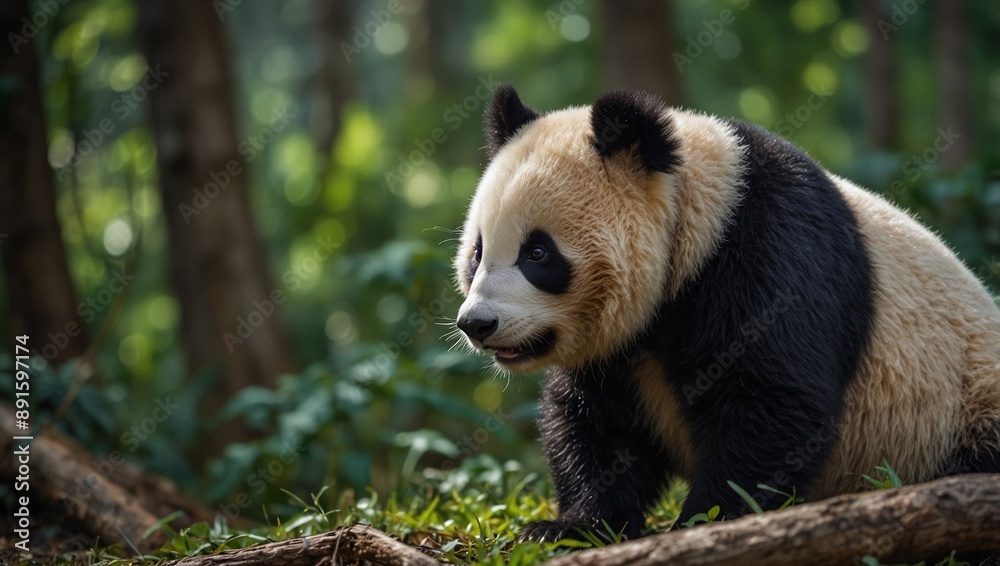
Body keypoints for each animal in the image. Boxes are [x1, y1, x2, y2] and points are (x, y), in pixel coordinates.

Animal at [453, 84, 1000, 542]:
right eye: (477, 252)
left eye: (538, 254)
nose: (477, 324)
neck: (700, 217)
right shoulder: (621, 346)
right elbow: (596, 421)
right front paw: (569, 526)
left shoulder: (773, 252)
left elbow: (771, 402)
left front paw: (706, 520)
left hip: (965, 402)